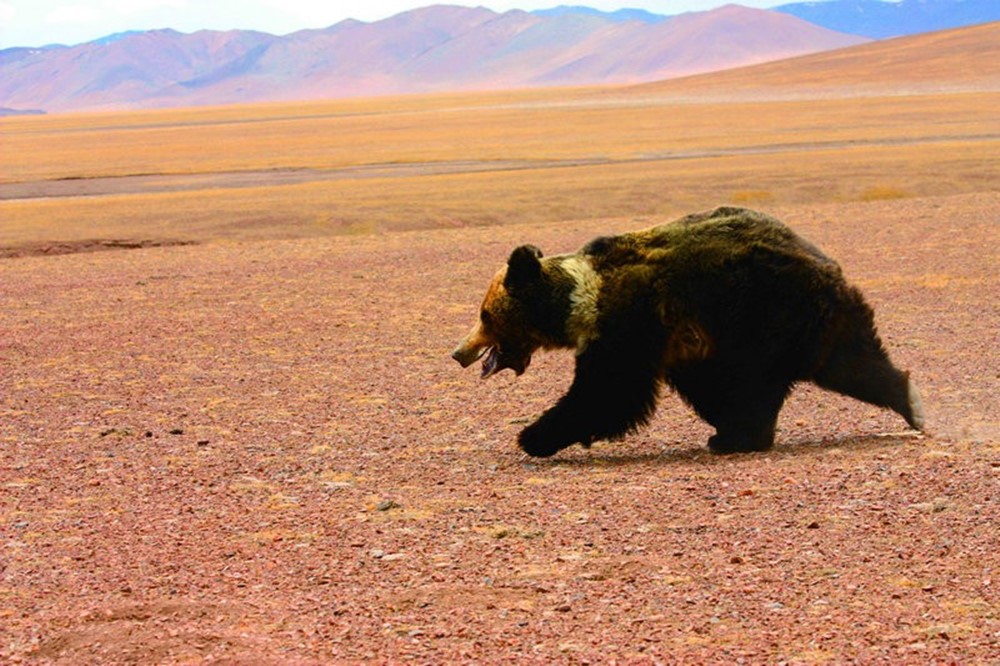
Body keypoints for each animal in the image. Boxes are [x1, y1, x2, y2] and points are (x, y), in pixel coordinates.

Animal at [454, 208, 920, 456]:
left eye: (485, 315)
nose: (459, 352)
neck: (574, 304)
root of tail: (825, 264)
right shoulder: (683, 343)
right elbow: (703, 385)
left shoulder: (628, 322)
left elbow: (609, 391)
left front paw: (534, 436)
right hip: (806, 322)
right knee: (853, 363)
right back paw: (908, 399)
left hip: (768, 315)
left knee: (781, 376)